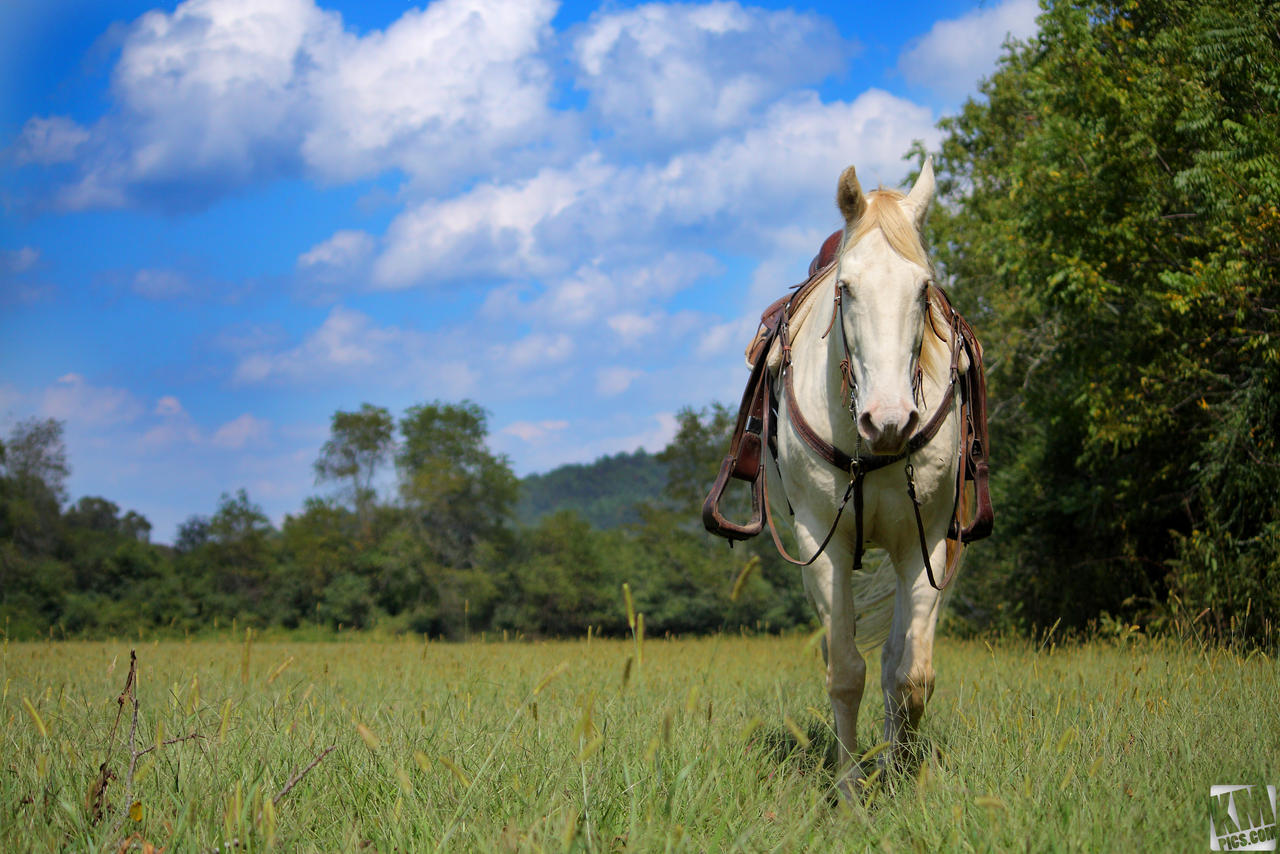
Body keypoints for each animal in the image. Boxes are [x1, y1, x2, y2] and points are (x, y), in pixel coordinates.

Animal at [768, 156, 967, 798]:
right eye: (846, 288)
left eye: (924, 289)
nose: (888, 420)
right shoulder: (821, 545)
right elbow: (845, 673)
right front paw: (851, 790)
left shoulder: (926, 543)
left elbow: (909, 675)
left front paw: (897, 775)